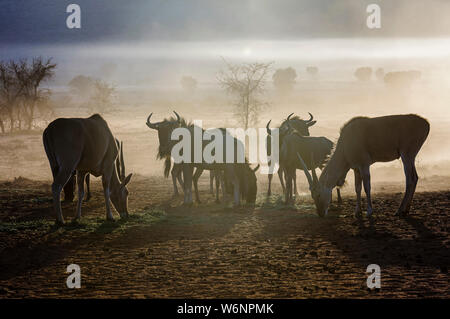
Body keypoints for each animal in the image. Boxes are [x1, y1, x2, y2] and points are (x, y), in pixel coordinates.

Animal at [298, 114, 430, 218]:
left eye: (319, 194)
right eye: (312, 196)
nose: (320, 213)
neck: (345, 143)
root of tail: (426, 123)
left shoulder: (364, 165)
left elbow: (367, 187)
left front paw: (369, 211)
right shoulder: (356, 168)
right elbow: (357, 188)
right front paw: (357, 212)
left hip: (406, 155)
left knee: (410, 179)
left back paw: (400, 210)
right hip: (410, 157)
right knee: (415, 177)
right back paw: (406, 210)